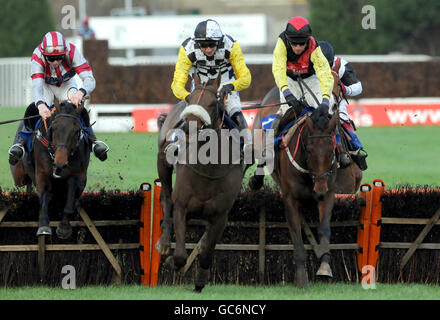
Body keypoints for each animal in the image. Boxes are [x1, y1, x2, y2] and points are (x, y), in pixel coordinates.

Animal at [10, 101, 89, 239]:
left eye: (76, 131)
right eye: (54, 128)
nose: (60, 164)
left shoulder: (77, 175)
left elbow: (70, 198)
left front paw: (64, 227)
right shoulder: (42, 173)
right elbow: (44, 196)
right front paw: (43, 225)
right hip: (19, 176)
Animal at [249, 87, 362, 288]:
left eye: (332, 149)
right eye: (308, 149)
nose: (319, 189)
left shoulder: (329, 194)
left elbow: (324, 229)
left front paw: (324, 266)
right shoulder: (290, 199)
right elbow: (297, 237)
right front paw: (302, 280)